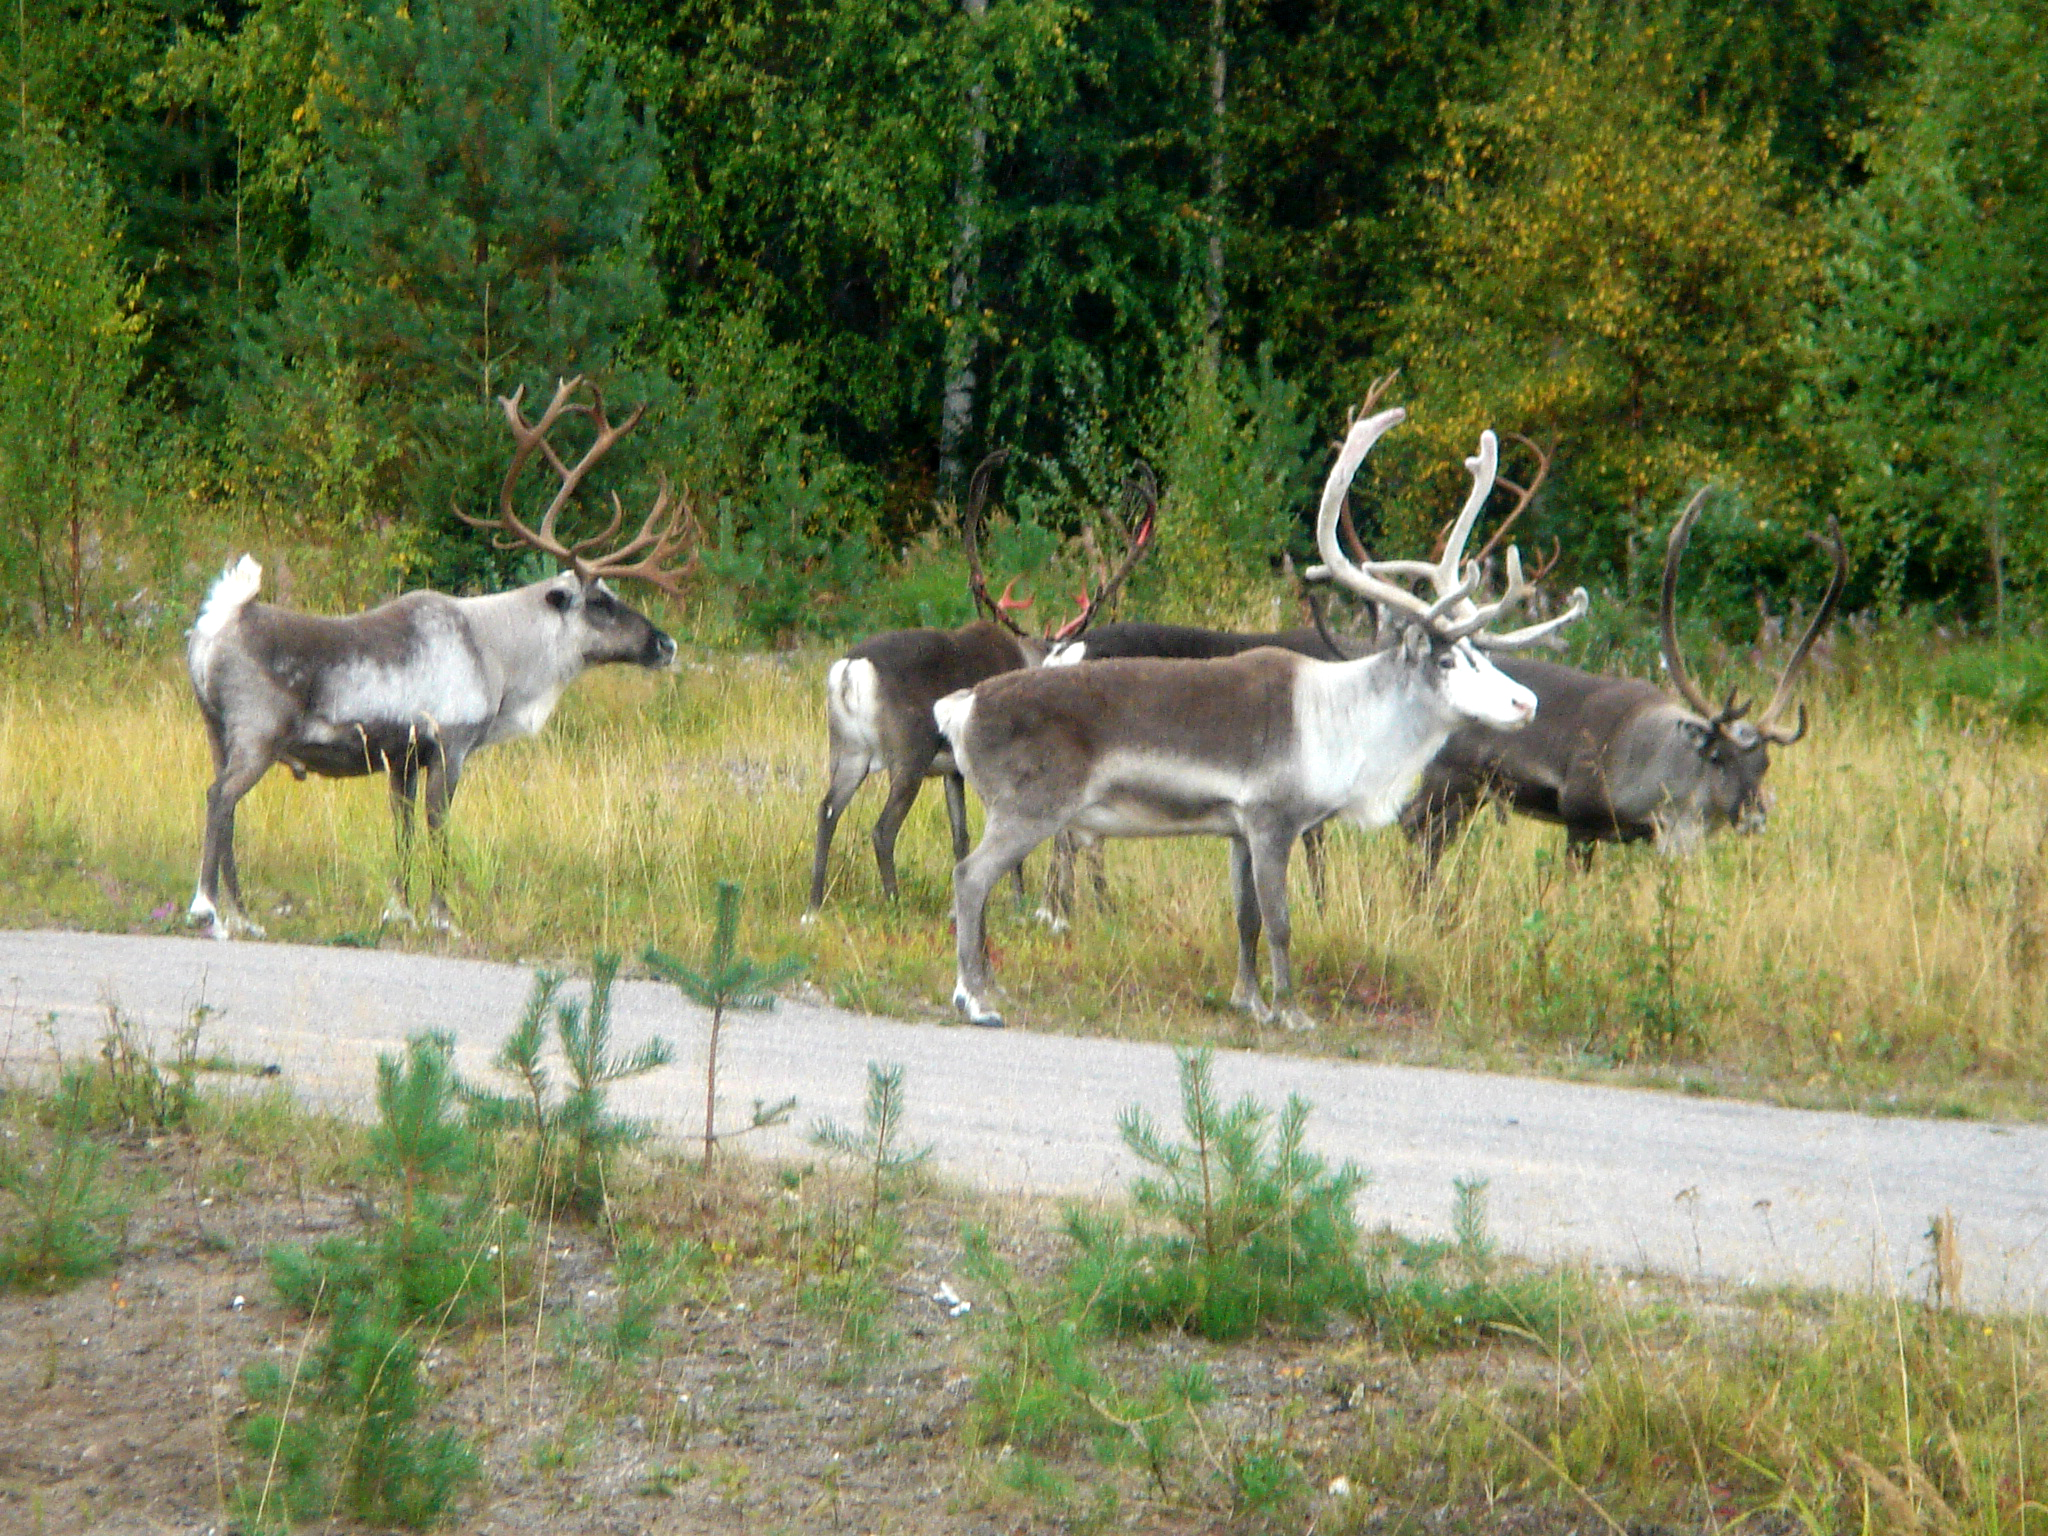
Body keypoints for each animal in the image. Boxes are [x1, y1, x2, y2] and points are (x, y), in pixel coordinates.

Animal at [186, 376, 697, 939]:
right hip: (258, 733)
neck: (500, 658)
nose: (665, 644)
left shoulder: (401, 759)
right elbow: (438, 830)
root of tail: (216, 625)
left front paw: (399, 910)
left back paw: (244, 916)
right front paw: (443, 915)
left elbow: (403, 830)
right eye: (601, 602)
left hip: (216, 730)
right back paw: (208, 909)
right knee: (219, 798)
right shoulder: (450, 745)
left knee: (227, 808)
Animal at [804, 454, 1155, 916]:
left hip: (847, 749)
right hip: (908, 752)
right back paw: (893, 901)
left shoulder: (952, 769)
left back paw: (813, 905)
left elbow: (961, 836)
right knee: (882, 829)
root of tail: (850, 670)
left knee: (826, 811)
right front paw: (1019, 901)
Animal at [934, 407, 1588, 1028]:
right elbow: (1280, 921)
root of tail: (959, 706)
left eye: (1484, 653)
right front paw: (1291, 1012)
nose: (1525, 703)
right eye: (1449, 659)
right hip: (1031, 806)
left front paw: (1247, 1001)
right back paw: (975, 999)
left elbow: (1244, 917)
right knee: (969, 877)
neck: (1347, 728)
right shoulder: (1275, 818)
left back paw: (989, 988)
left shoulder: (1237, 826)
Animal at [1401, 487, 1848, 872]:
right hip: (1447, 778)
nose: (1756, 816)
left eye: (1765, 763)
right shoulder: (1580, 820)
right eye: (1718, 757)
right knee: (1413, 828)